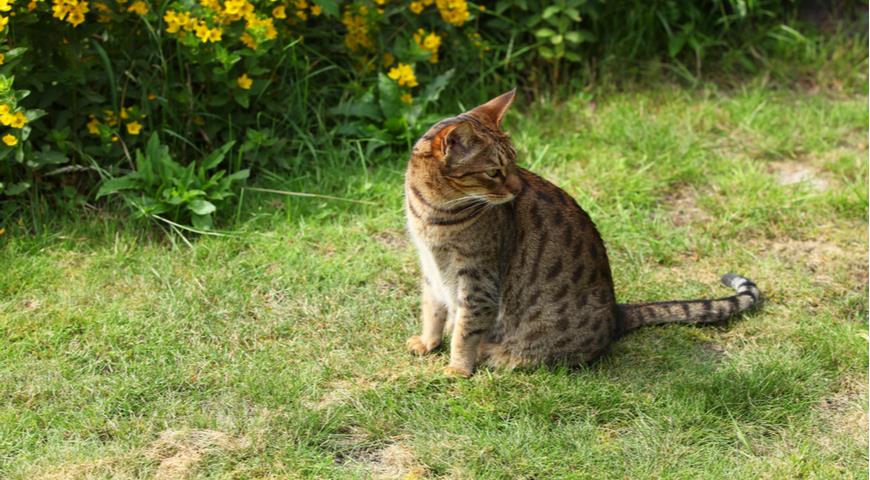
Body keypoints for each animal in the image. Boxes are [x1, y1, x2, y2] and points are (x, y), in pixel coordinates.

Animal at [406, 88, 760, 376]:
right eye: (494, 172)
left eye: (514, 162)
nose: (517, 188)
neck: (432, 211)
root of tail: (617, 313)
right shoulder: (431, 267)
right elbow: (432, 310)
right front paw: (427, 342)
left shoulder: (478, 278)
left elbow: (466, 329)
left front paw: (458, 368)